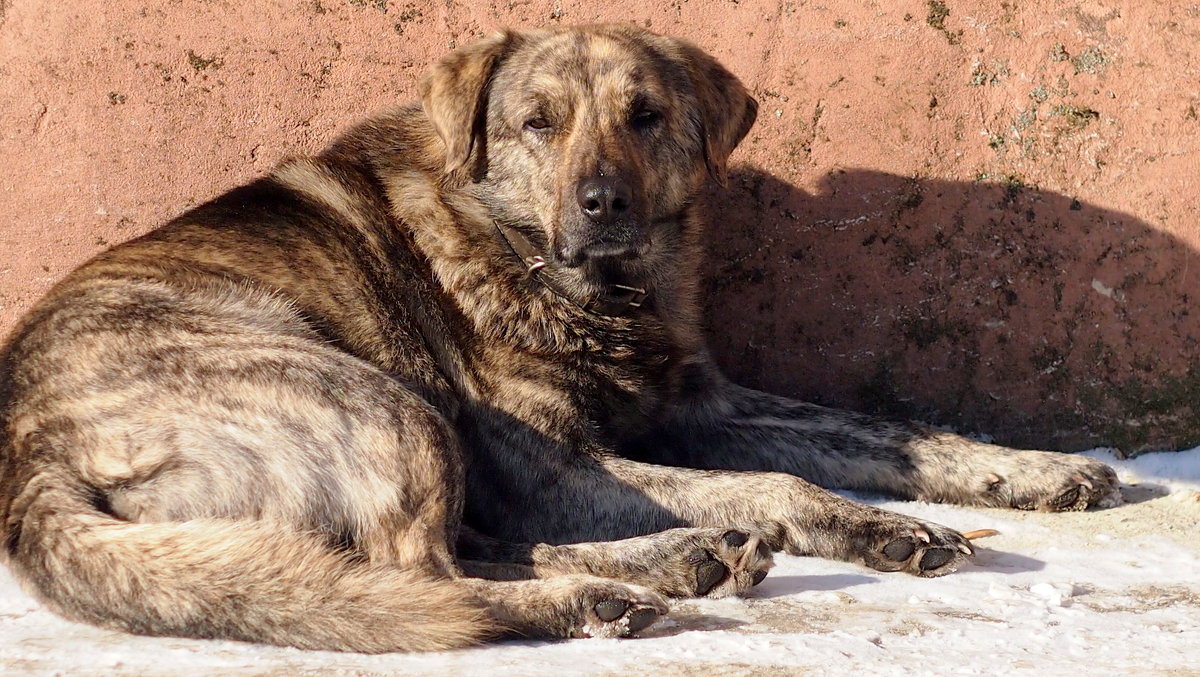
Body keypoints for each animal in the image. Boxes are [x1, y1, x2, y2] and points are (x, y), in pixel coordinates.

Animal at [0, 25, 1123, 648]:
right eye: (537, 122)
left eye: (646, 115)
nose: (603, 204)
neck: (584, 286)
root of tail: (29, 459)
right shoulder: (558, 463)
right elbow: (774, 484)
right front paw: (862, 523)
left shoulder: (703, 406)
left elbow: (887, 434)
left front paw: (1022, 472)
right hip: (376, 399)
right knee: (424, 578)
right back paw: (611, 587)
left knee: (447, 555)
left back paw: (675, 559)